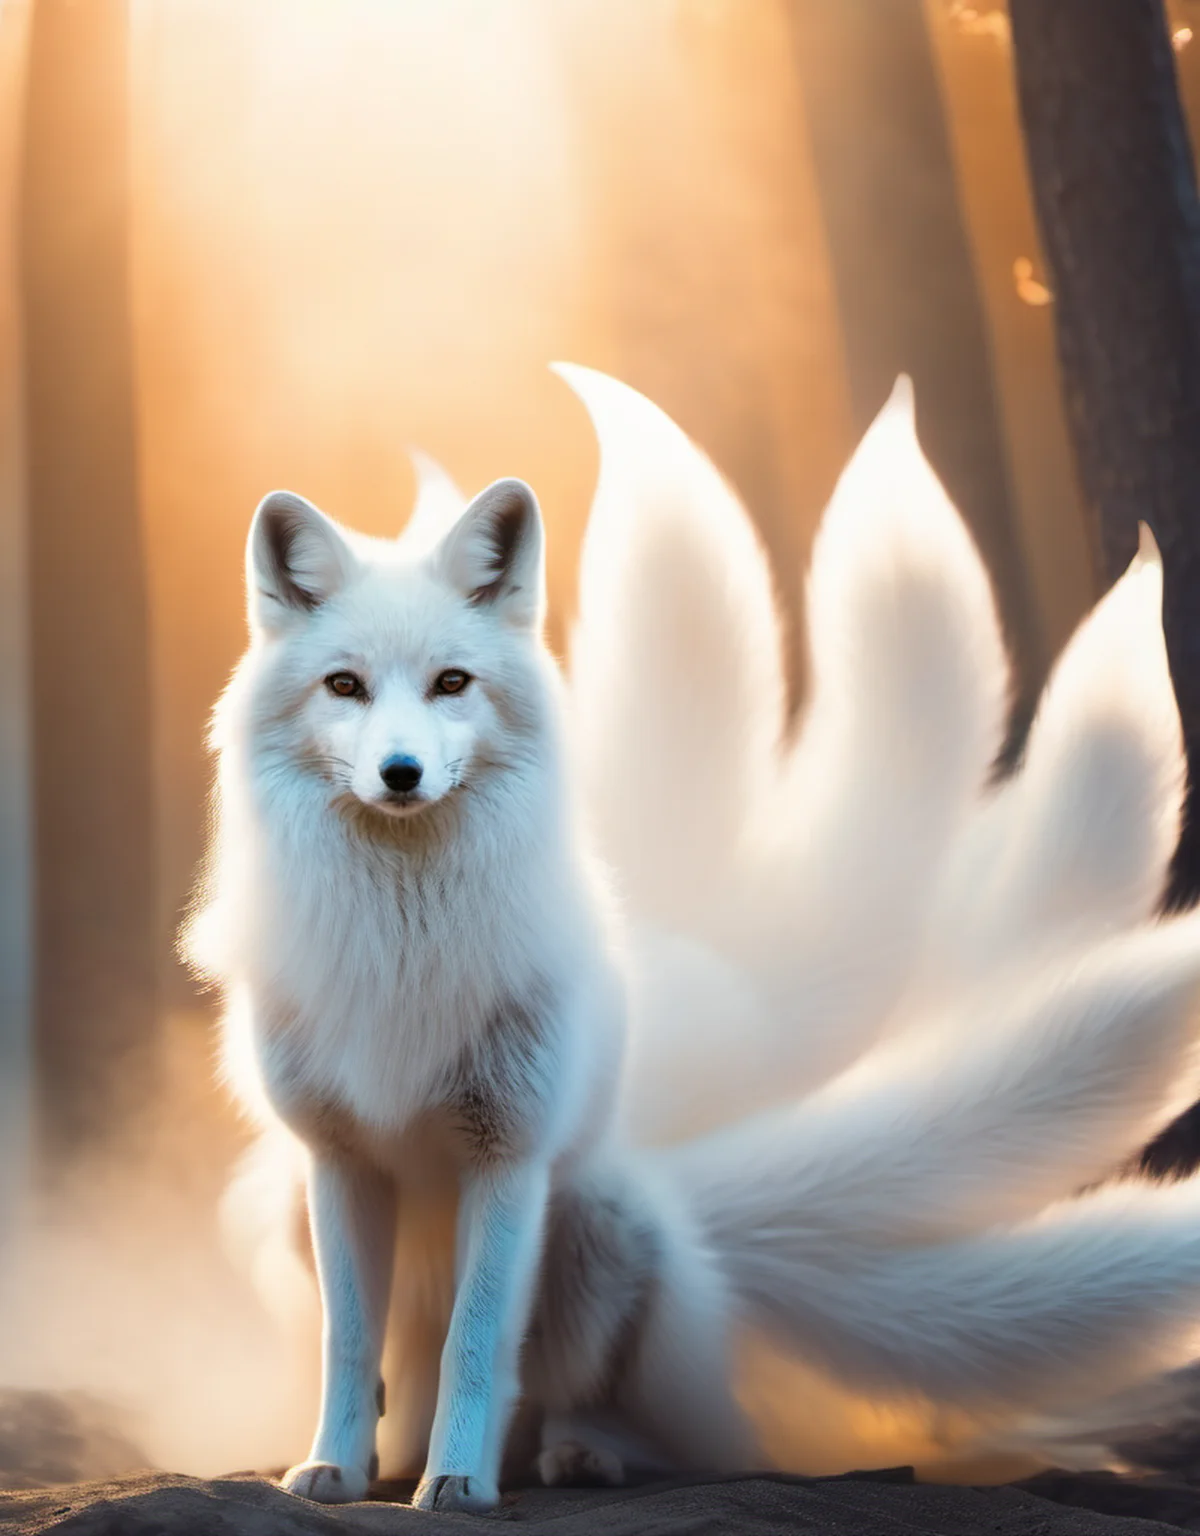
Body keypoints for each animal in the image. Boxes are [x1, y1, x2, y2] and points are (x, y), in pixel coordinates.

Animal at [195, 363, 1200, 1504]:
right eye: (346, 686)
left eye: (452, 683)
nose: (401, 774)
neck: (403, 943)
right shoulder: (335, 1159)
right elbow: (349, 1340)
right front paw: (333, 1467)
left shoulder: (511, 1156)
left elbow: (477, 1346)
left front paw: (458, 1489)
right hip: (303, 1209)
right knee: (418, 1378)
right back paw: (404, 1454)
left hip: (597, 1225)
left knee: (581, 1403)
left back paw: (571, 1455)